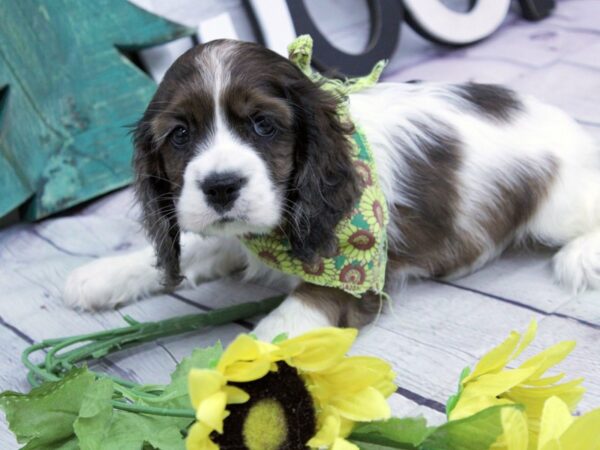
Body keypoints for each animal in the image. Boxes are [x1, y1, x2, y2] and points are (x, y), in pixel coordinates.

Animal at [64, 40, 600, 340]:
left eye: (263, 125)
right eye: (179, 135)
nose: (220, 186)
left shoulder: (357, 276)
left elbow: (281, 325)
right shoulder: (234, 234)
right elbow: (196, 245)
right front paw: (101, 275)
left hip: (554, 207)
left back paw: (583, 257)